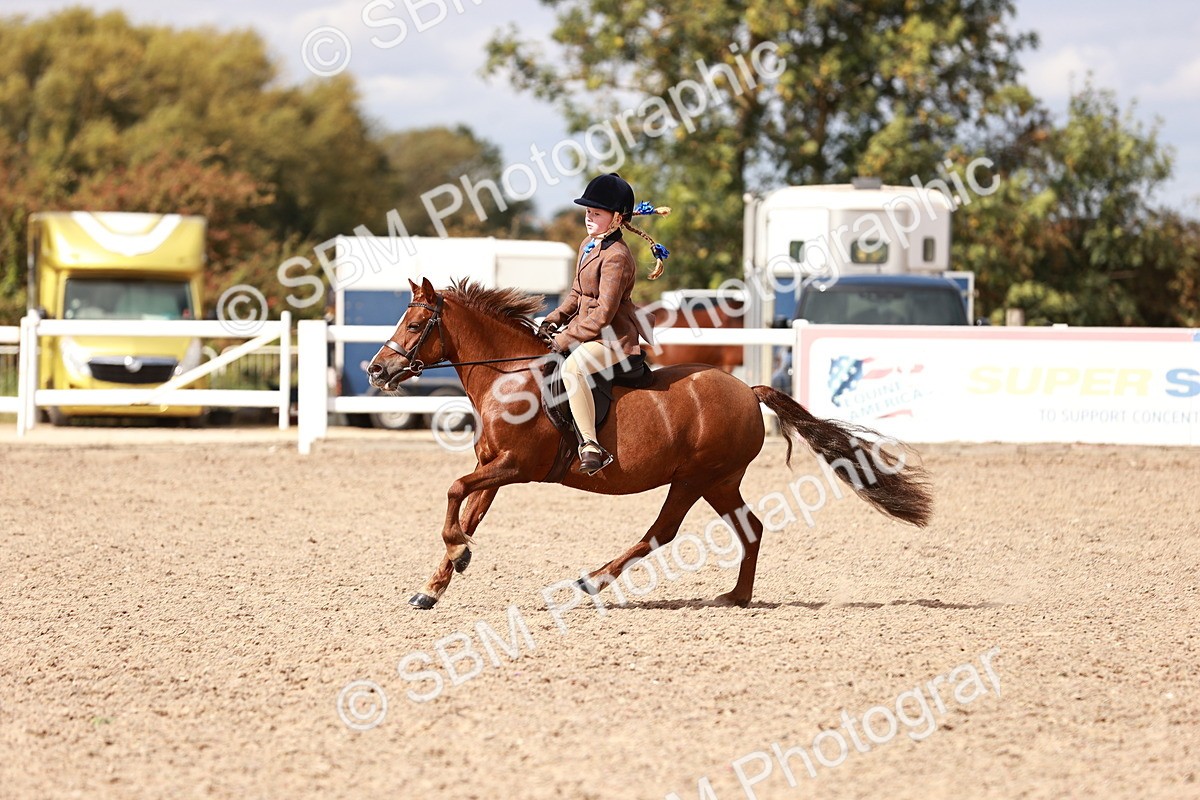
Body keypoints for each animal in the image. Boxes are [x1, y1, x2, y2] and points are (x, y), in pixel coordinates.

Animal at [367, 277, 932, 610]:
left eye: (415, 324)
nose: (376, 370)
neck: (511, 376)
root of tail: (747, 389)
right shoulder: (494, 469)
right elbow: (468, 509)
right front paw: (439, 580)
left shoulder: (515, 466)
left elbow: (453, 492)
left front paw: (456, 555)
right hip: (718, 481)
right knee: (749, 529)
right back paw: (735, 597)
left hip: (694, 478)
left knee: (662, 532)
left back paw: (592, 583)